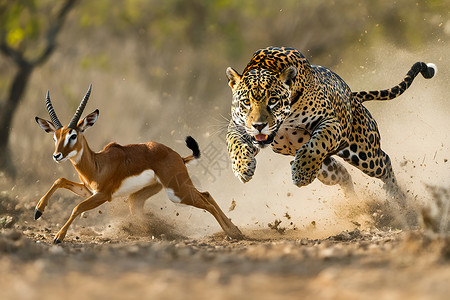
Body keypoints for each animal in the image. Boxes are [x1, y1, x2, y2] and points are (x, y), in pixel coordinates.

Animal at [225, 47, 436, 200]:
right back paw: (356, 207)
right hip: (326, 169)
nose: (258, 125)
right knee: (343, 174)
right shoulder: (237, 127)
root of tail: (353, 96)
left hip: (364, 153)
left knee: (384, 162)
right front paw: (243, 168)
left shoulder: (330, 122)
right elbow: (234, 144)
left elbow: (316, 145)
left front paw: (301, 173)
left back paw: (401, 203)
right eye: (246, 102)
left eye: (273, 101)